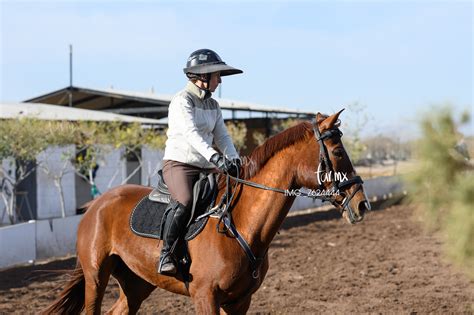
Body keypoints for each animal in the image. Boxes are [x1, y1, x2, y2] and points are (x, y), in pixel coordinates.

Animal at [44, 110, 370, 314]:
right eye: (337, 152)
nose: (362, 204)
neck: (242, 225)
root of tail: (96, 206)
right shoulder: (205, 297)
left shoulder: (239, 302)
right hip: (96, 276)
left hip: (137, 283)